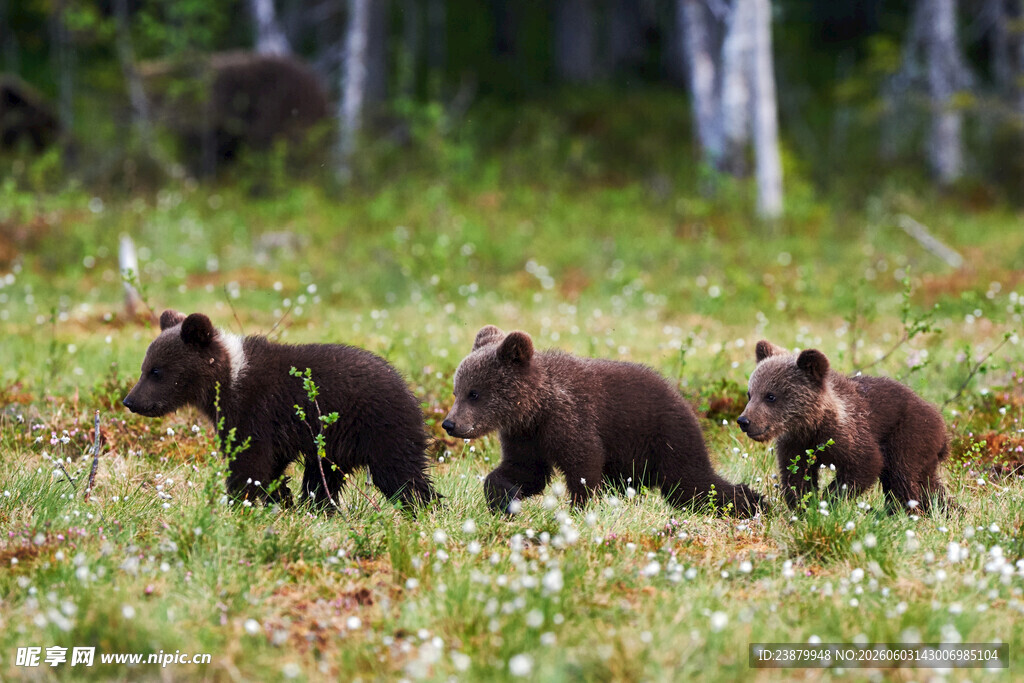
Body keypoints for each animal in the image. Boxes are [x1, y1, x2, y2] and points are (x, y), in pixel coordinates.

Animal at [123, 310, 437, 509]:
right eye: (144, 367)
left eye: (156, 371)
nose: (130, 401)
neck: (228, 379)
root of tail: (410, 390)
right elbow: (271, 467)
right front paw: (280, 499)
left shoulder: (254, 410)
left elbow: (249, 462)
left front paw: (238, 503)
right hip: (334, 446)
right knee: (323, 479)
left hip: (379, 427)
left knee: (400, 473)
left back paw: (424, 507)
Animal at [441, 325, 763, 517]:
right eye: (457, 390)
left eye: (474, 393)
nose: (449, 424)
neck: (537, 409)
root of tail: (685, 402)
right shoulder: (525, 436)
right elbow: (525, 470)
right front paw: (503, 499)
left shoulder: (570, 420)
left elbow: (583, 463)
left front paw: (580, 508)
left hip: (666, 439)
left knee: (694, 485)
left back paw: (755, 502)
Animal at [737, 340, 950, 513]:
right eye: (750, 393)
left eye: (770, 396)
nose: (744, 421)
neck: (813, 424)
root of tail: (942, 426)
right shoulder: (796, 443)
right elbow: (796, 475)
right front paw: (803, 506)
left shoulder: (850, 434)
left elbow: (865, 464)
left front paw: (827, 501)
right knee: (929, 484)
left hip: (909, 435)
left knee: (903, 477)